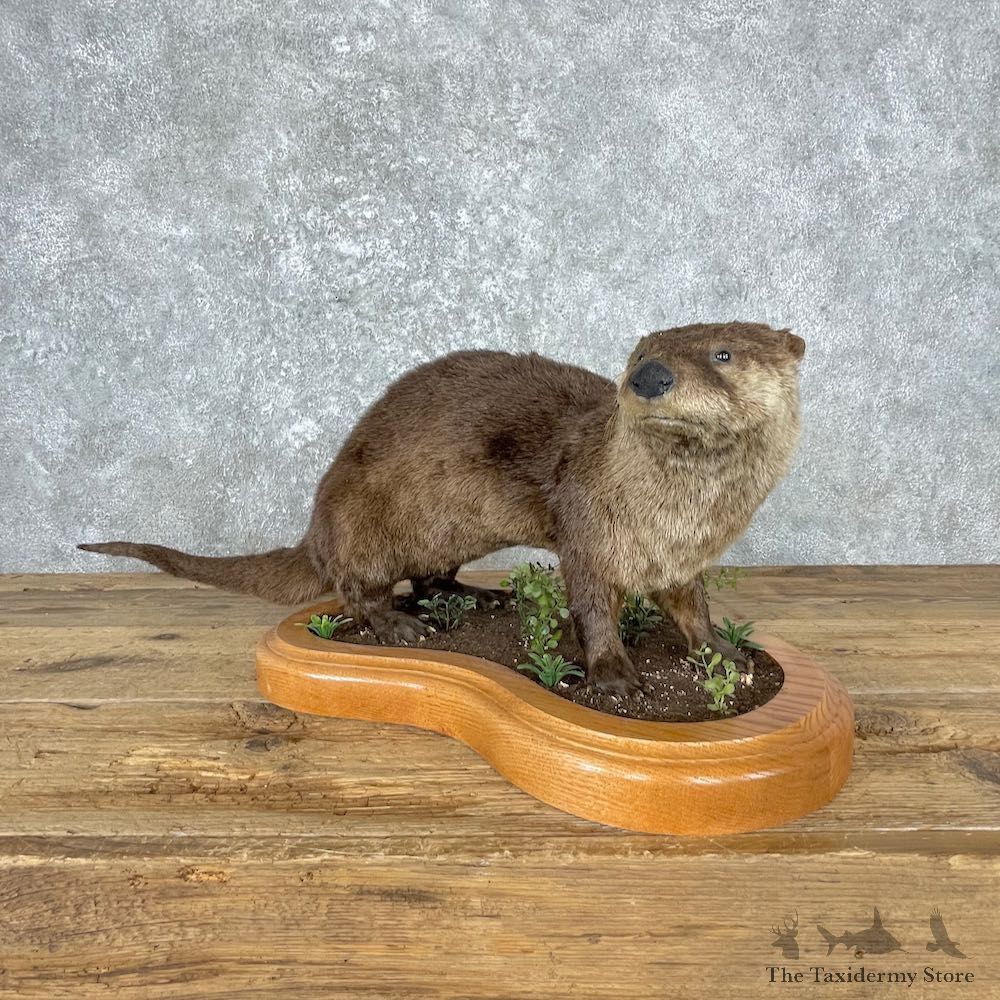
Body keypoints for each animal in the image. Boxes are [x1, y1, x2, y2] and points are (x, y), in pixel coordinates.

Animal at [79, 321, 804, 695]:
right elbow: (595, 610)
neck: (681, 515)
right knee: (356, 590)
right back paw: (399, 626)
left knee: (431, 578)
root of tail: (315, 529)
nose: (650, 377)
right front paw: (614, 676)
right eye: (639, 354)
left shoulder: (682, 560)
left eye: (722, 353)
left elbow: (693, 610)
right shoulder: (588, 536)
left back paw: (481, 598)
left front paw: (726, 653)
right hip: (364, 521)